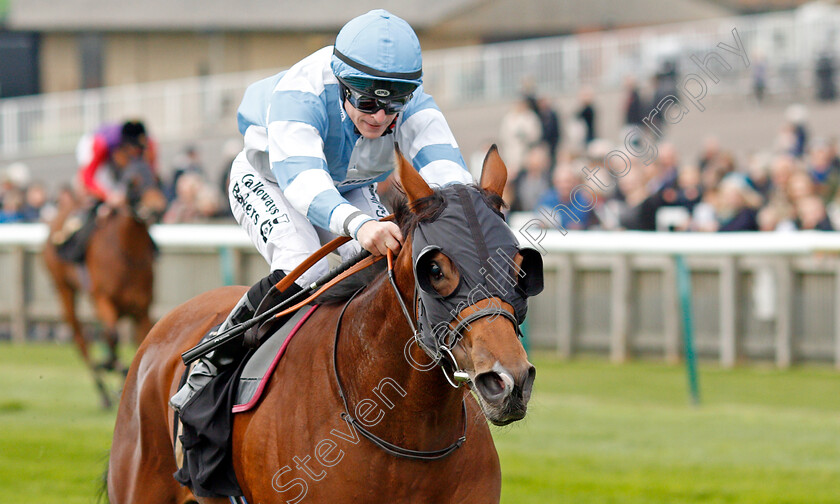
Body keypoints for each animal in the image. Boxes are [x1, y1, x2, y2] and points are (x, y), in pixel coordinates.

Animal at [43, 159, 166, 408]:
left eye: (156, 177)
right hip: (64, 290)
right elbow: (111, 336)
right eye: (132, 181)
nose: (157, 208)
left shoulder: (142, 307)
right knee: (81, 340)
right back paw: (103, 392)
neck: (127, 252)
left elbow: (142, 344)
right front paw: (112, 366)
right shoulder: (103, 299)